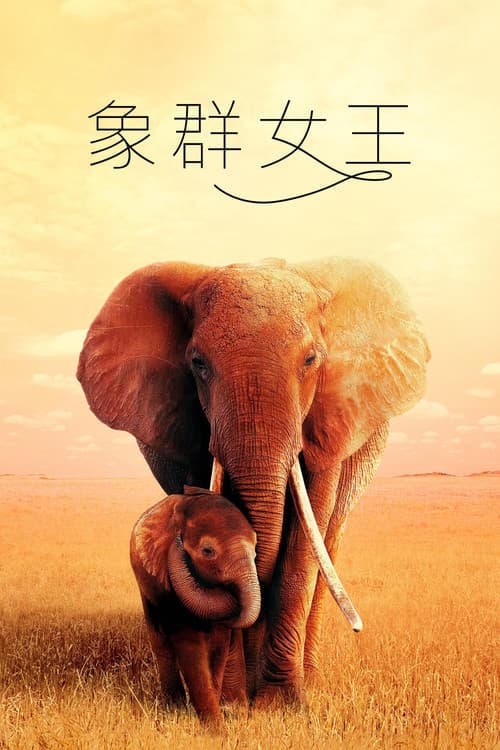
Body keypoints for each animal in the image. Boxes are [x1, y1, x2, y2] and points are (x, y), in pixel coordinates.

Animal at [130, 485, 260, 724]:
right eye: (207, 551)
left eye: (255, 551)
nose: (178, 542)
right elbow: (189, 641)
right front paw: (212, 727)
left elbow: (219, 644)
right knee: (160, 642)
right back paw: (173, 706)